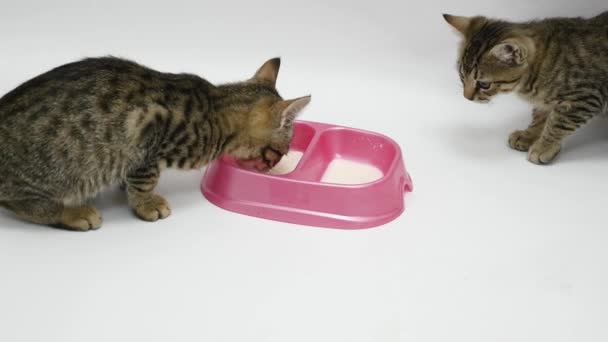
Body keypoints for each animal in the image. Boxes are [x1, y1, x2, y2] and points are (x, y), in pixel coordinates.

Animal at [0, 57, 312, 231]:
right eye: (279, 152)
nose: (272, 168)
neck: (215, 109)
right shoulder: (147, 142)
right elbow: (145, 180)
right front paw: (147, 204)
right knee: (18, 202)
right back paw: (74, 213)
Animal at [442, 12, 608, 164]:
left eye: (484, 84)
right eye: (462, 76)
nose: (466, 97)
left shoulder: (585, 97)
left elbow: (558, 123)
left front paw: (543, 146)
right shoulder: (545, 101)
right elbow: (540, 116)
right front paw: (529, 135)